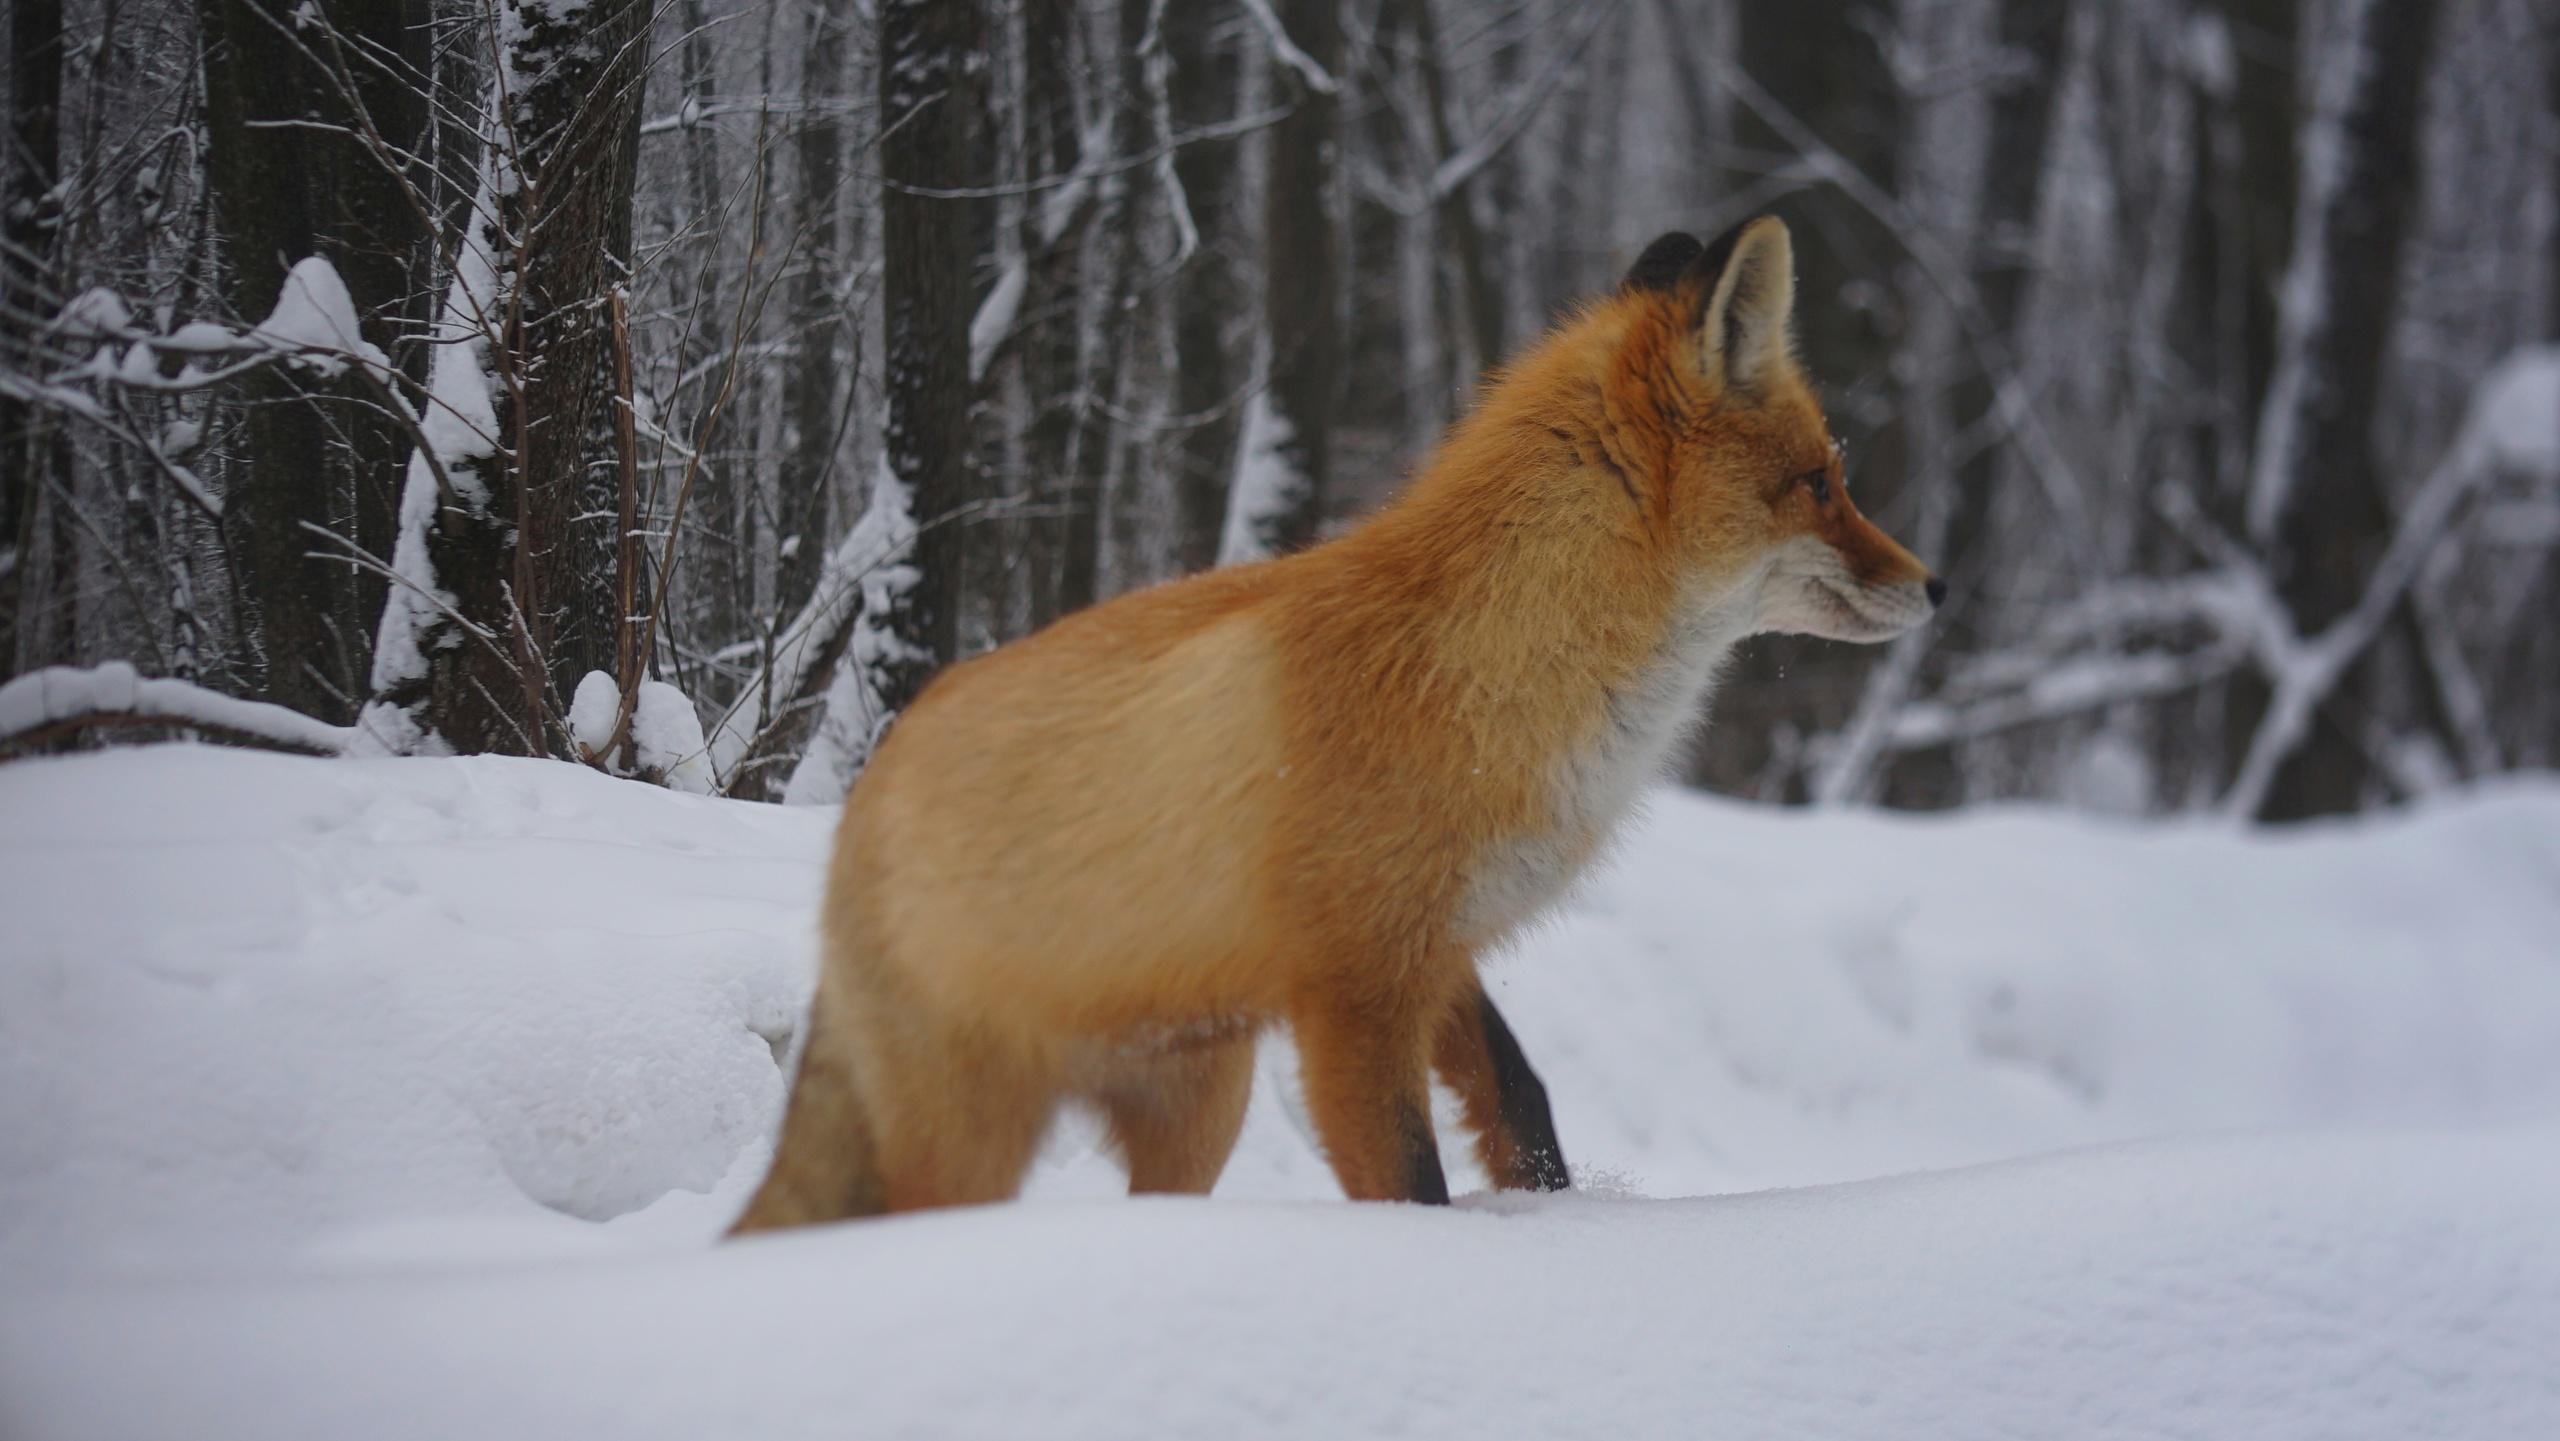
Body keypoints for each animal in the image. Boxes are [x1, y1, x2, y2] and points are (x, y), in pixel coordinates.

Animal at [732, 220, 1925, 1233]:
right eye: (1820, 482)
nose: (1938, 586)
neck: (1490, 674)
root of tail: (865, 794)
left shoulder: (1437, 949)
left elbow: (1524, 1101)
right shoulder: (1353, 991)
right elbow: (1409, 1181)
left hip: (1200, 1105)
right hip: (981, 1129)